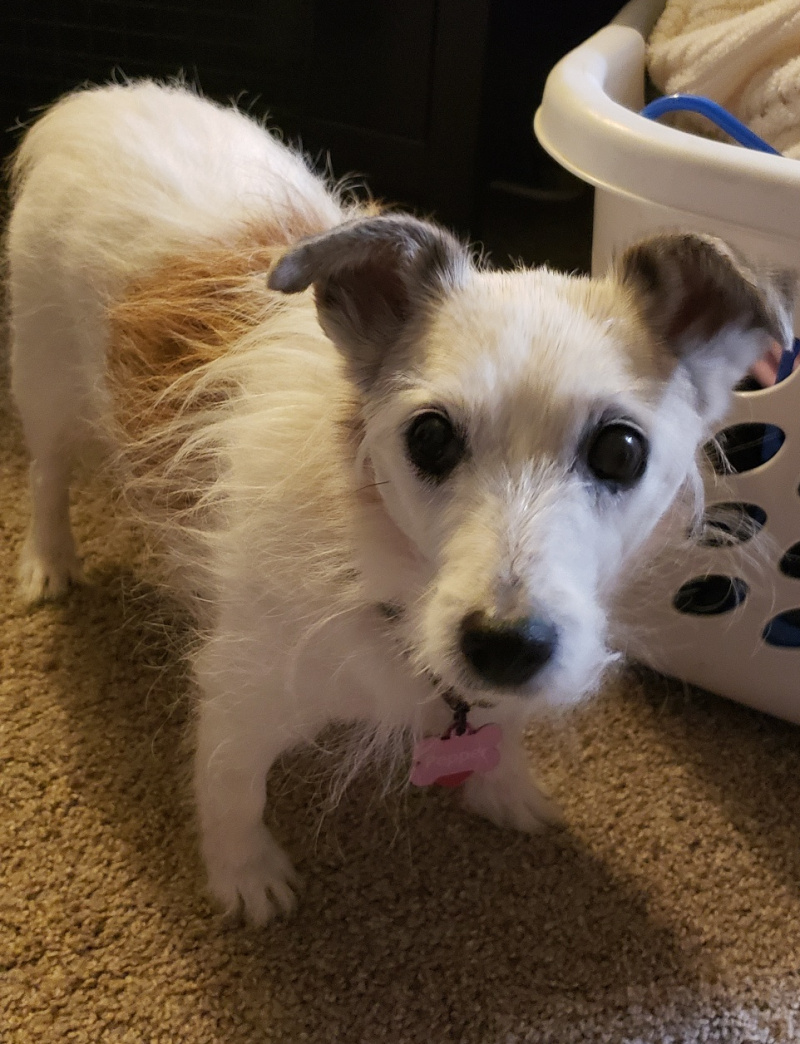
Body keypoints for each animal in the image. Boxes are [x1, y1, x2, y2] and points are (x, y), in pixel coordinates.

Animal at [6, 83, 793, 931]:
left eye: (621, 451)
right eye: (430, 437)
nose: (505, 646)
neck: (389, 576)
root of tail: (96, 99)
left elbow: (500, 727)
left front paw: (503, 786)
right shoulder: (240, 695)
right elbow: (231, 788)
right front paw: (245, 876)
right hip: (45, 385)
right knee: (48, 474)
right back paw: (49, 561)